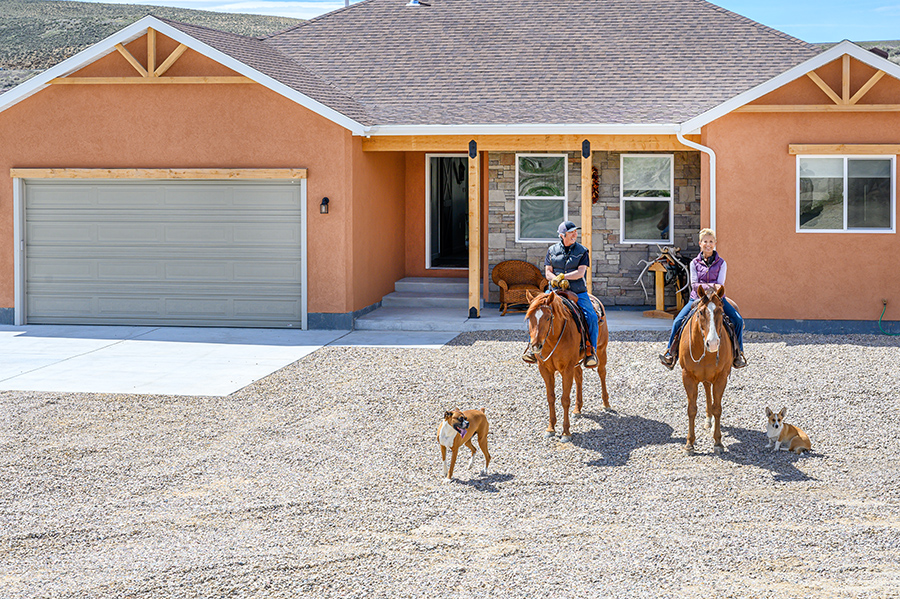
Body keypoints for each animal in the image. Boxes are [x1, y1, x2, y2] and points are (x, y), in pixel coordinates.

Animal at [524, 290, 608, 440]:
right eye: (529, 318)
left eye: (548, 318)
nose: (535, 346)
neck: (553, 340)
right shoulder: (545, 369)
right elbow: (550, 397)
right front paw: (550, 428)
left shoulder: (567, 369)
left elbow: (564, 399)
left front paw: (566, 432)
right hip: (576, 362)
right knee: (579, 378)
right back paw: (577, 409)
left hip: (602, 349)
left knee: (602, 373)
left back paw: (606, 404)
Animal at [680, 284, 736, 454]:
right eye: (700, 312)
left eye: (721, 311)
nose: (712, 343)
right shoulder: (688, 376)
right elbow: (691, 409)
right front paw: (689, 443)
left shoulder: (721, 377)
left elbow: (717, 408)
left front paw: (717, 442)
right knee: (706, 390)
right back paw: (708, 420)